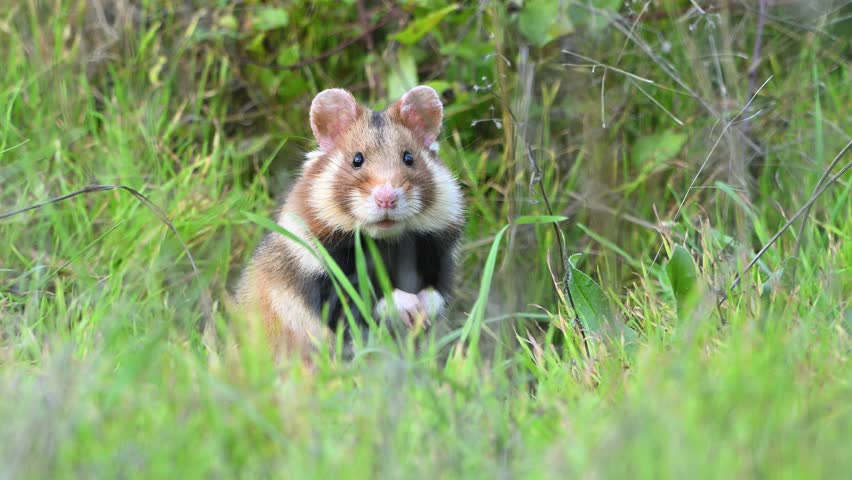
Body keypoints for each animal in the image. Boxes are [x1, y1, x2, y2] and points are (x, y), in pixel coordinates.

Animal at [235, 85, 466, 360]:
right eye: (357, 160)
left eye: (409, 158)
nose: (386, 198)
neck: (386, 242)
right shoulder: (321, 275)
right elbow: (363, 298)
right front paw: (410, 309)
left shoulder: (440, 256)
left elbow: (437, 292)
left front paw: (423, 312)